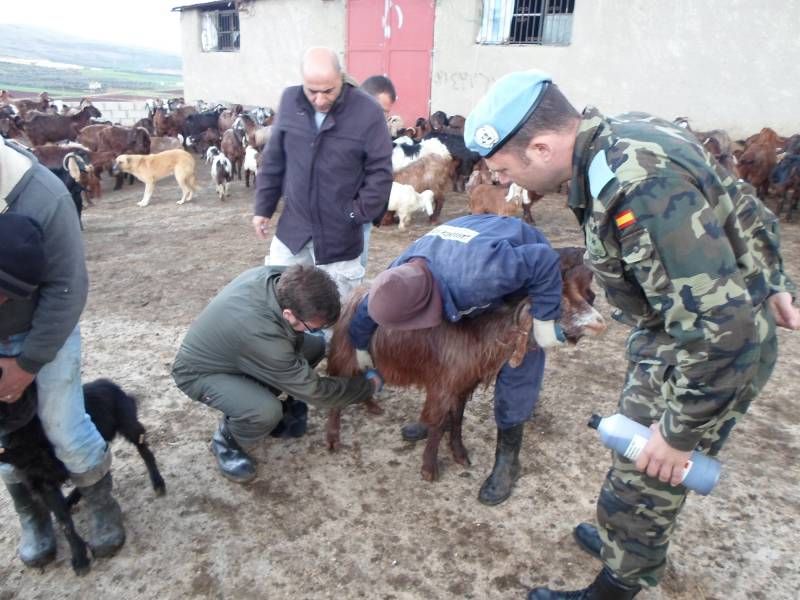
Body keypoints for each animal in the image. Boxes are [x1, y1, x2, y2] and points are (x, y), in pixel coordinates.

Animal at [0, 378, 166, 576]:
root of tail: (109, 383)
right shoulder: (41, 482)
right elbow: (64, 521)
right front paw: (79, 555)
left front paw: (79, 559)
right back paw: (71, 499)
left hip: (128, 425)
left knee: (145, 451)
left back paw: (158, 482)